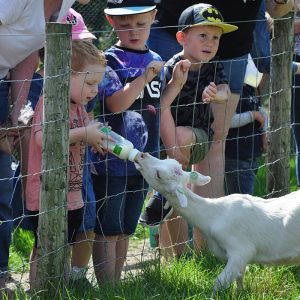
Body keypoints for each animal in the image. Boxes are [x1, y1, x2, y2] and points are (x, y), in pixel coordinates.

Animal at [135, 154, 300, 294]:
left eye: (159, 175)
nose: (142, 154)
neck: (214, 215)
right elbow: (239, 277)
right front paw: (240, 293)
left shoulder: (241, 250)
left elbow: (219, 283)